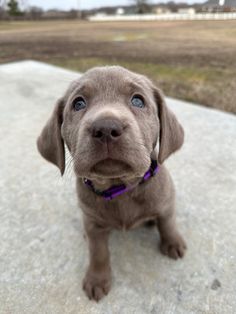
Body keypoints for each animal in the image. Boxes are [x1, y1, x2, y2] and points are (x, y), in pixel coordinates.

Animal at [37, 65, 186, 302]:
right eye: (78, 103)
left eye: (138, 101)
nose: (106, 128)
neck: (120, 187)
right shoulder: (94, 224)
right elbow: (98, 252)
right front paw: (97, 280)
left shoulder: (166, 203)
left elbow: (168, 223)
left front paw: (173, 243)